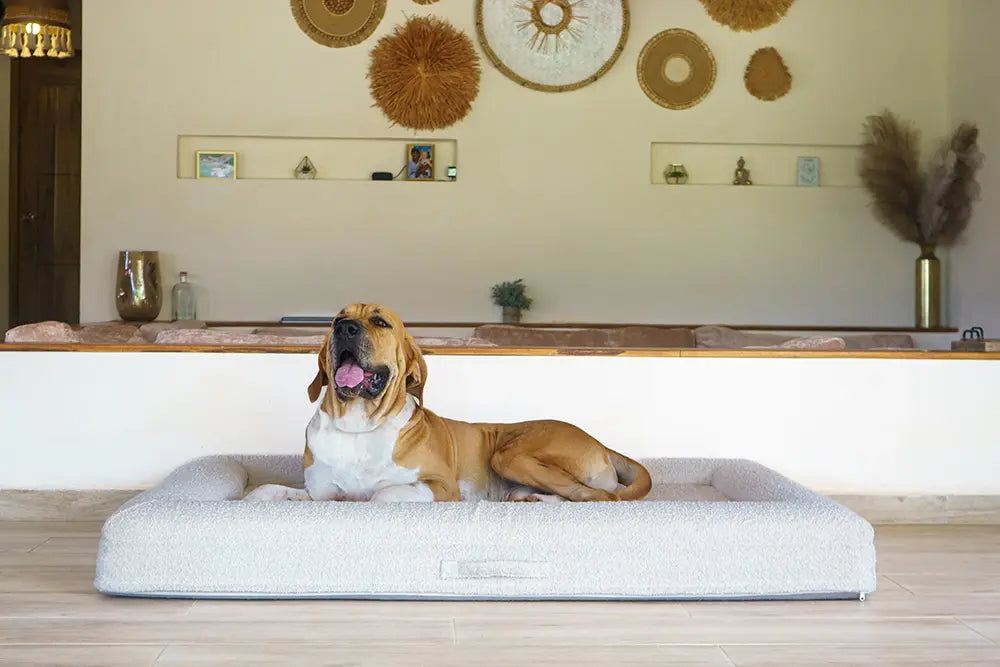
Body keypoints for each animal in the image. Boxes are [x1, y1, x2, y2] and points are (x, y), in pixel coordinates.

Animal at [245, 302, 652, 500]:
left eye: (380, 322)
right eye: (335, 320)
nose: (344, 328)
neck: (359, 426)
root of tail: (601, 444)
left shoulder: (439, 487)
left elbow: (381, 495)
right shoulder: (318, 493)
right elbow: (264, 491)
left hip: (511, 455)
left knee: (600, 497)